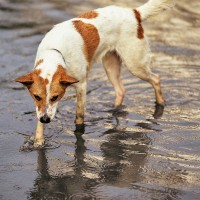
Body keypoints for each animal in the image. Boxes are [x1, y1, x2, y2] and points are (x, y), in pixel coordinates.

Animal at [15, 0, 174, 147]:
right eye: (36, 96)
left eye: (55, 97)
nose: (46, 120)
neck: (55, 51)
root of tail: (134, 13)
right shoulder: (40, 106)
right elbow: (39, 118)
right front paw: (38, 142)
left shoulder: (81, 86)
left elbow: (79, 115)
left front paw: (79, 133)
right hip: (110, 65)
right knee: (121, 90)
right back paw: (114, 110)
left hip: (135, 64)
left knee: (156, 79)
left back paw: (160, 103)